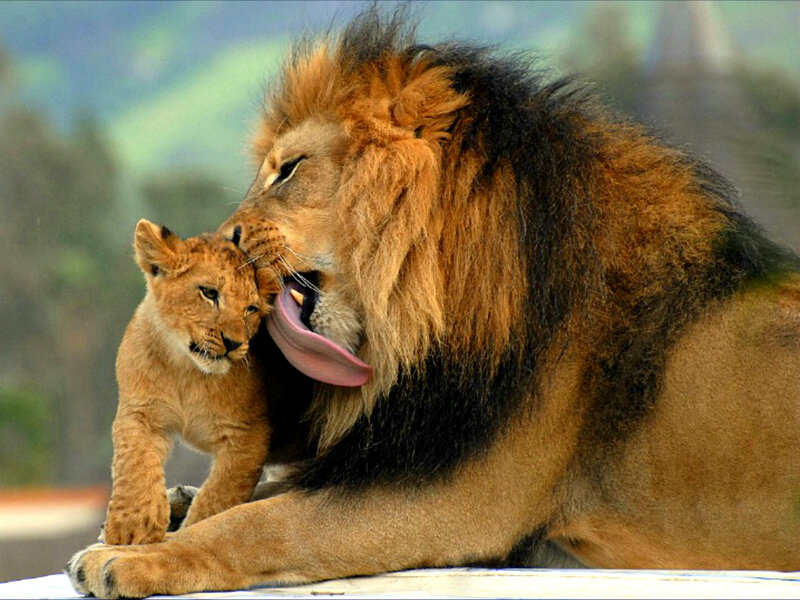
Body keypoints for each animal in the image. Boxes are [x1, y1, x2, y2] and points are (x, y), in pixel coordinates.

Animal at [101, 219, 281, 545]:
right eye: (209, 293)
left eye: (250, 309)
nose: (234, 344)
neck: (186, 370)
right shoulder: (139, 412)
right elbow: (134, 463)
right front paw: (132, 527)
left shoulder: (248, 435)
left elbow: (219, 498)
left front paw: (194, 534)